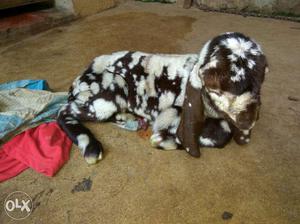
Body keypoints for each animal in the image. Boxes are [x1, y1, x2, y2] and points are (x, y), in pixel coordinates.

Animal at [57, 32, 268, 164]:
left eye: (260, 78)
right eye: (214, 83)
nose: (249, 120)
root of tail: (80, 78)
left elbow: (222, 132)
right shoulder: (174, 111)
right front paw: (163, 139)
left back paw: (127, 117)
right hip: (112, 89)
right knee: (63, 111)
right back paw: (91, 147)